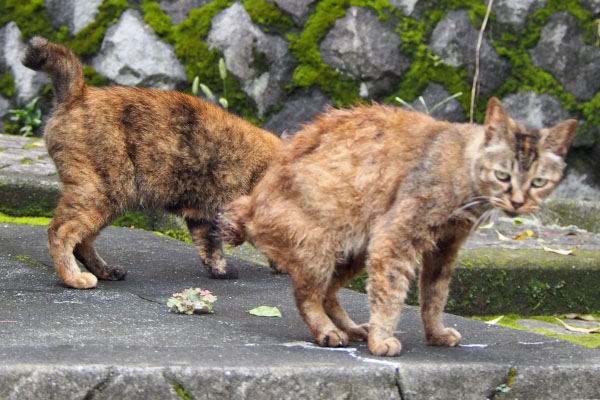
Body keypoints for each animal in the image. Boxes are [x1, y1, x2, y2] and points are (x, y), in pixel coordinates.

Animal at [22, 36, 282, 288]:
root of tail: (78, 93)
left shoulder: (202, 213)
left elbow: (210, 246)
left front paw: (221, 270)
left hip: (110, 200)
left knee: (83, 242)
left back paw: (107, 271)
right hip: (102, 192)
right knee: (60, 232)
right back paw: (75, 278)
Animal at [221, 98, 576, 354]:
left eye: (539, 181)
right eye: (502, 175)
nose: (518, 202)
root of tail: (250, 205)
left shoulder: (445, 247)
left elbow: (434, 296)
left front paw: (435, 335)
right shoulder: (395, 238)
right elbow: (391, 297)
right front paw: (382, 342)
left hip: (355, 252)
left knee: (329, 295)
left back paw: (352, 328)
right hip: (322, 247)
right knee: (307, 297)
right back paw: (330, 332)